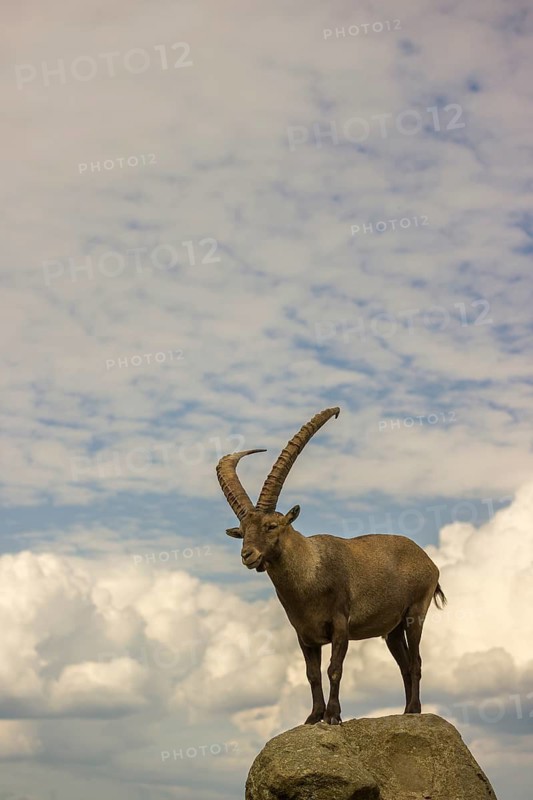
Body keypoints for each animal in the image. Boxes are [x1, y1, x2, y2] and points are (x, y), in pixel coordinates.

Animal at [216, 407, 446, 725]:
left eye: (271, 525)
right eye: (241, 530)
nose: (247, 555)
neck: (310, 574)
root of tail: (428, 560)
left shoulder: (340, 625)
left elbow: (334, 669)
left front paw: (333, 716)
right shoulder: (305, 635)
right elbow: (312, 674)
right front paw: (314, 716)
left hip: (415, 613)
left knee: (416, 662)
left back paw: (414, 709)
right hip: (393, 629)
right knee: (403, 664)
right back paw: (405, 710)